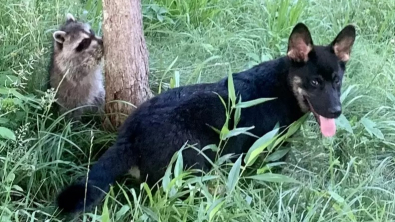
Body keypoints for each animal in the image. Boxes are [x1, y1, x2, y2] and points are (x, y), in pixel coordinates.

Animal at [57, 22, 358, 213]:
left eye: (337, 81)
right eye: (315, 82)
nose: (336, 111)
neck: (283, 85)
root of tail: (130, 135)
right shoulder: (261, 155)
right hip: (192, 165)